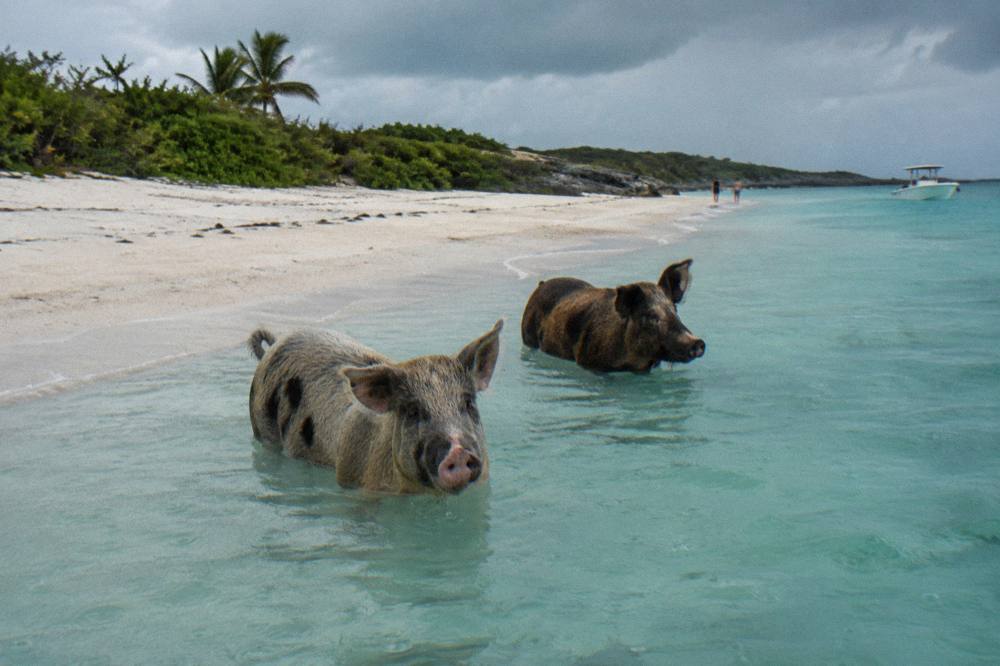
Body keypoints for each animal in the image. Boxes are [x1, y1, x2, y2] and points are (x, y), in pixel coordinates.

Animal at [520, 258, 705, 372]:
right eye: (650, 316)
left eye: (675, 310)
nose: (698, 342)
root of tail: (541, 284)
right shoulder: (589, 363)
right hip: (528, 335)